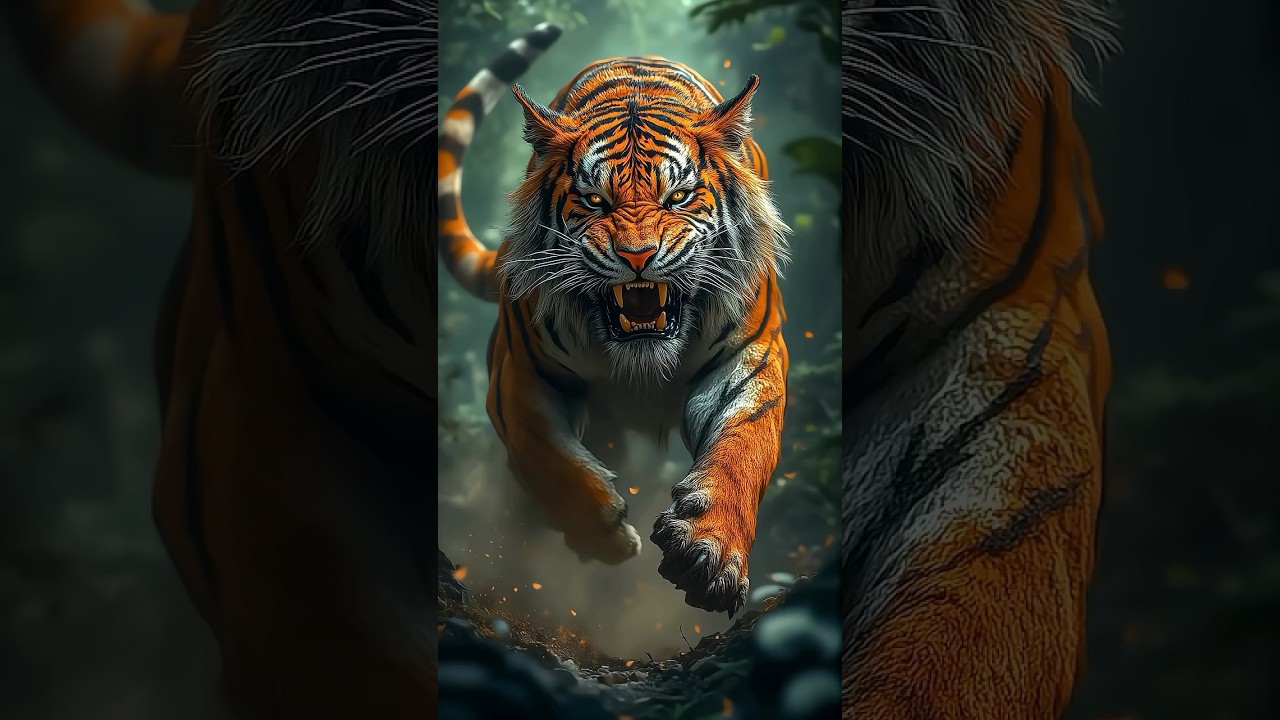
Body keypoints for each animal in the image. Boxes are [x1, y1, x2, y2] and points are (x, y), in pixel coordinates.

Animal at [438, 29, 791, 615]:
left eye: (678, 196)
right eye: (594, 200)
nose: (637, 256)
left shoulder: (751, 357)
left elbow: (744, 448)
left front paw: (710, 552)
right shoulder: (519, 375)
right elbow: (546, 457)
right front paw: (606, 536)